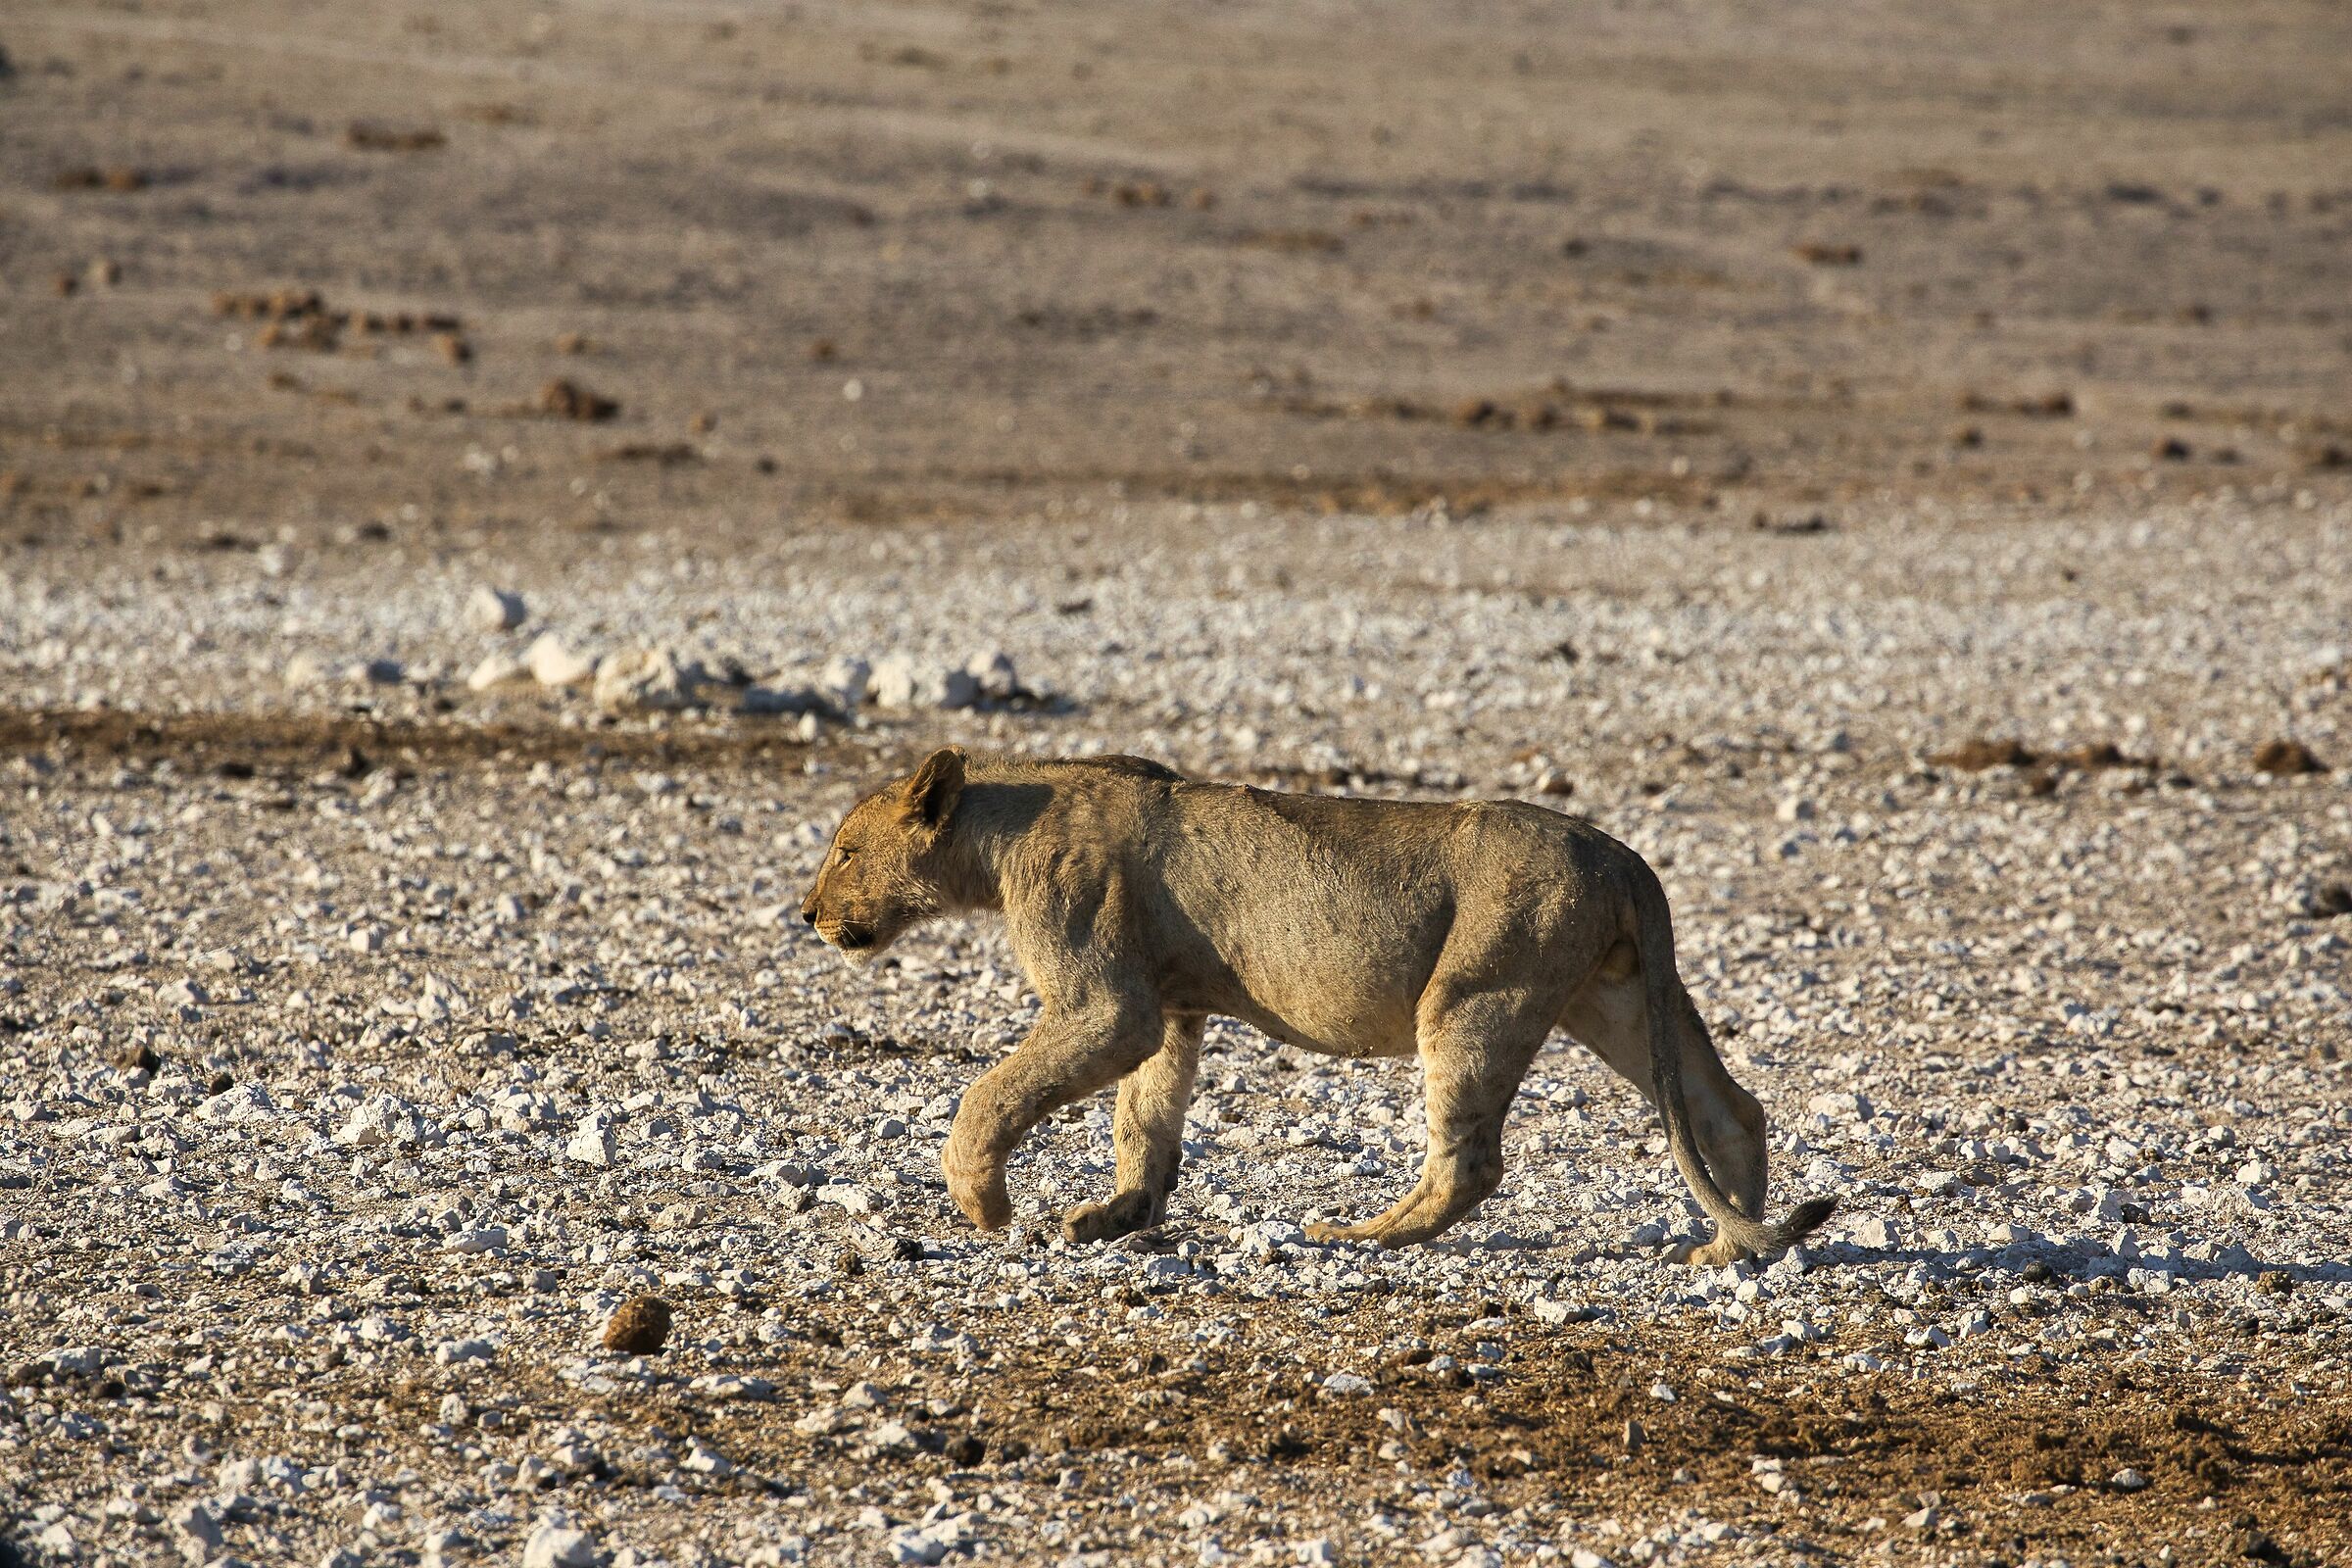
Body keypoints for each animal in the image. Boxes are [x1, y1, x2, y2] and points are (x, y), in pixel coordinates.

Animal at [799, 747, 1835, 1263]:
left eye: (845, 849)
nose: (807, 912)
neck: (998, 830)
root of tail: (1620, 853)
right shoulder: (1168, 1006)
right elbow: (1147, 1115)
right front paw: (1119, 1214)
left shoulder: (1104, 1003)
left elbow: (991, 1093)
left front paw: (983, 1201)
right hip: (1612, 997)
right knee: (1729, 1107)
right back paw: (1734, 1247)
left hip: (1475, 995)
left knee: (1469, 1164)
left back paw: (1358, 1234)